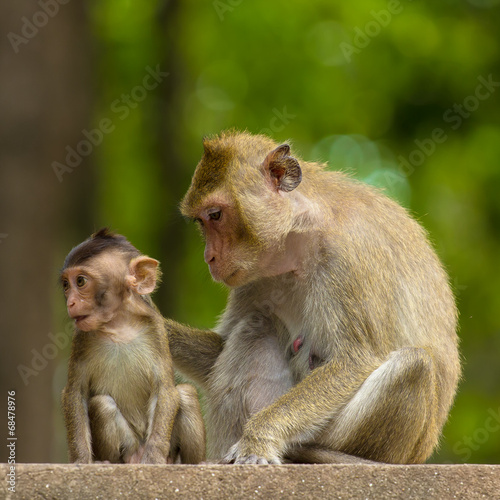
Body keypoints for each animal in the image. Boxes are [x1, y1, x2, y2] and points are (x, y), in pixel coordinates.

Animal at [60, 229, 205, 462]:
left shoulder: (157, 330)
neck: (119, 326)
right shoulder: (80, 339)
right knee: (103, 405)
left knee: (186, 393)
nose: (70, 302)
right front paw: (81, 460)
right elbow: (75, 393)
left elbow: (164, 389)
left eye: (80, 282)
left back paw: (195, 463)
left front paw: (154, 457)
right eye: (66, 285)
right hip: (129, 445)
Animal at [169, 130, 460, 464]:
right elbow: (219, 350)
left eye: (215, 215)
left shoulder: (346, 255)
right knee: (255, 325)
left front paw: (259, 438)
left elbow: (353, 361)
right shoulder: (254, 278)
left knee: (414, 365)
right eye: (200, 221)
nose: (210, 258)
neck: (299, 237)